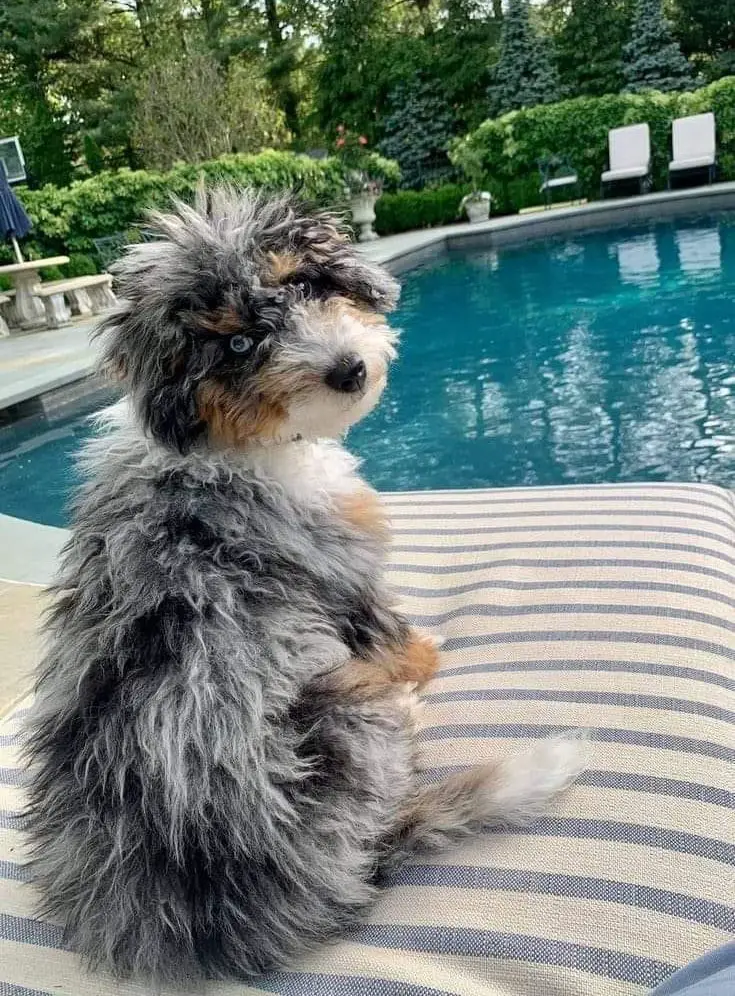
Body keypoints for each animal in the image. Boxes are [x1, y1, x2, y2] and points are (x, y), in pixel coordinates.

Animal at [23, 191, 588, 984]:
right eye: (235, 346)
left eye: (303, 285)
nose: (347, 370)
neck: (226, 446)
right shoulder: (341, 568)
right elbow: (388, 629)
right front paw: (423, 657)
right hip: (335, 719)